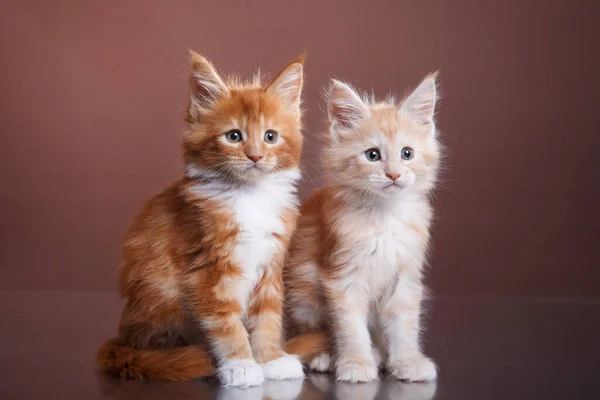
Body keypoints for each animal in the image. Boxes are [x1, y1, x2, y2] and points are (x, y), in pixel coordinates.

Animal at [97, 51, 310, 386]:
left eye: (270, 136)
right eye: (234, 136)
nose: (255, 156)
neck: (249, 197)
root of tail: (124, 341)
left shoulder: (271, 263)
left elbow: (268, 316)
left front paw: (271, 359)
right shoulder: (206, 267)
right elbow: (224, 320)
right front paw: (241, 364)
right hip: (160, 302)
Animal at [286, 76, 440, 384]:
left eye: (407, 153)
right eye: (372, 155)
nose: (393, 174)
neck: (383, 216)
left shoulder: (406, 276)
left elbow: (404, 325)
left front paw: (408, 361)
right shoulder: (342, 276)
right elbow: (350, 327)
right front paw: (356, 363)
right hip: (303, 291)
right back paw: (327, 356)